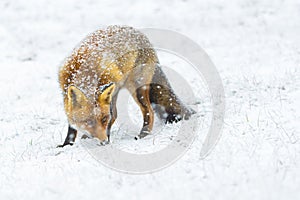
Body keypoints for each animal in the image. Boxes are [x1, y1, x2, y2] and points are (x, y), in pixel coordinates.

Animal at [58, 25, 195, 147]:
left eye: (103, 119)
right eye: (89, 121)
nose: (104, 142)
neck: (87, 73)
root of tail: (142, 35)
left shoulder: (113, 89)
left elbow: (112, 116)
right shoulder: (66, 95)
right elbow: (71, 125)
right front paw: (67, 144)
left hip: (136, 88)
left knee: (148, 111)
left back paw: (142, 135)